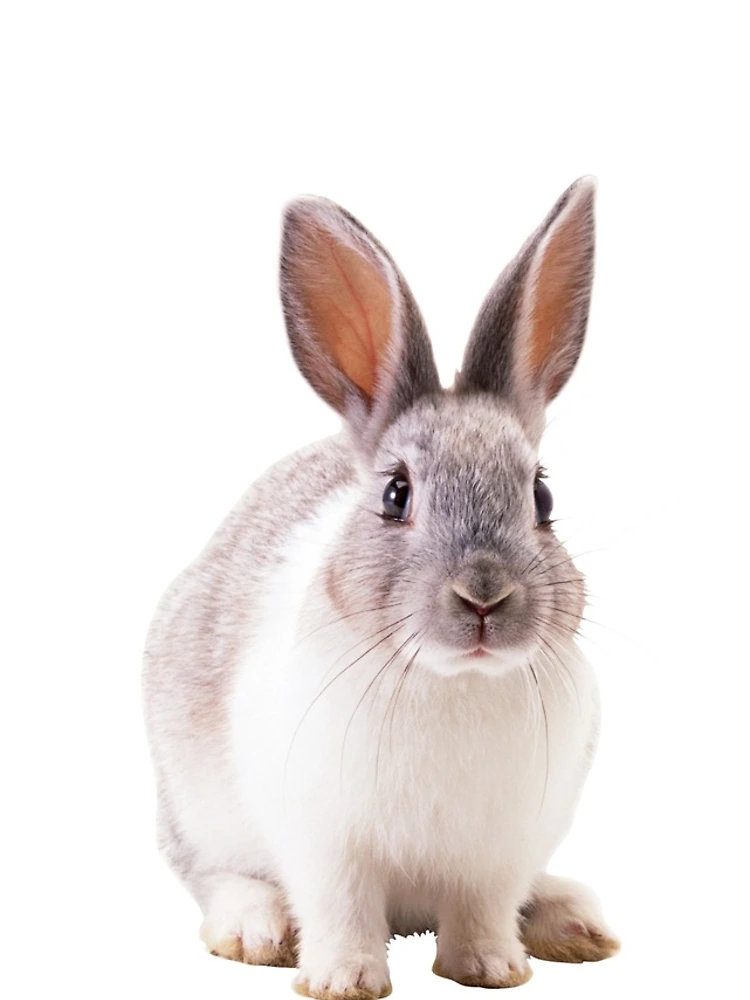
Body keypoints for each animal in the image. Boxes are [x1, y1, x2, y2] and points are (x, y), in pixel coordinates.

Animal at [143, 176, 619, 998]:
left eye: (542, 497)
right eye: (397, 495)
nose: (484, 596)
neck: (454, 680)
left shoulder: (500, 851)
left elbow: (484, 909)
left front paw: (491, 969)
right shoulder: (326, 842)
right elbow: (340, 907)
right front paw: (342, 980)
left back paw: (573, 922)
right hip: (195, 809)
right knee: (212, 875)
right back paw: (254, 927)